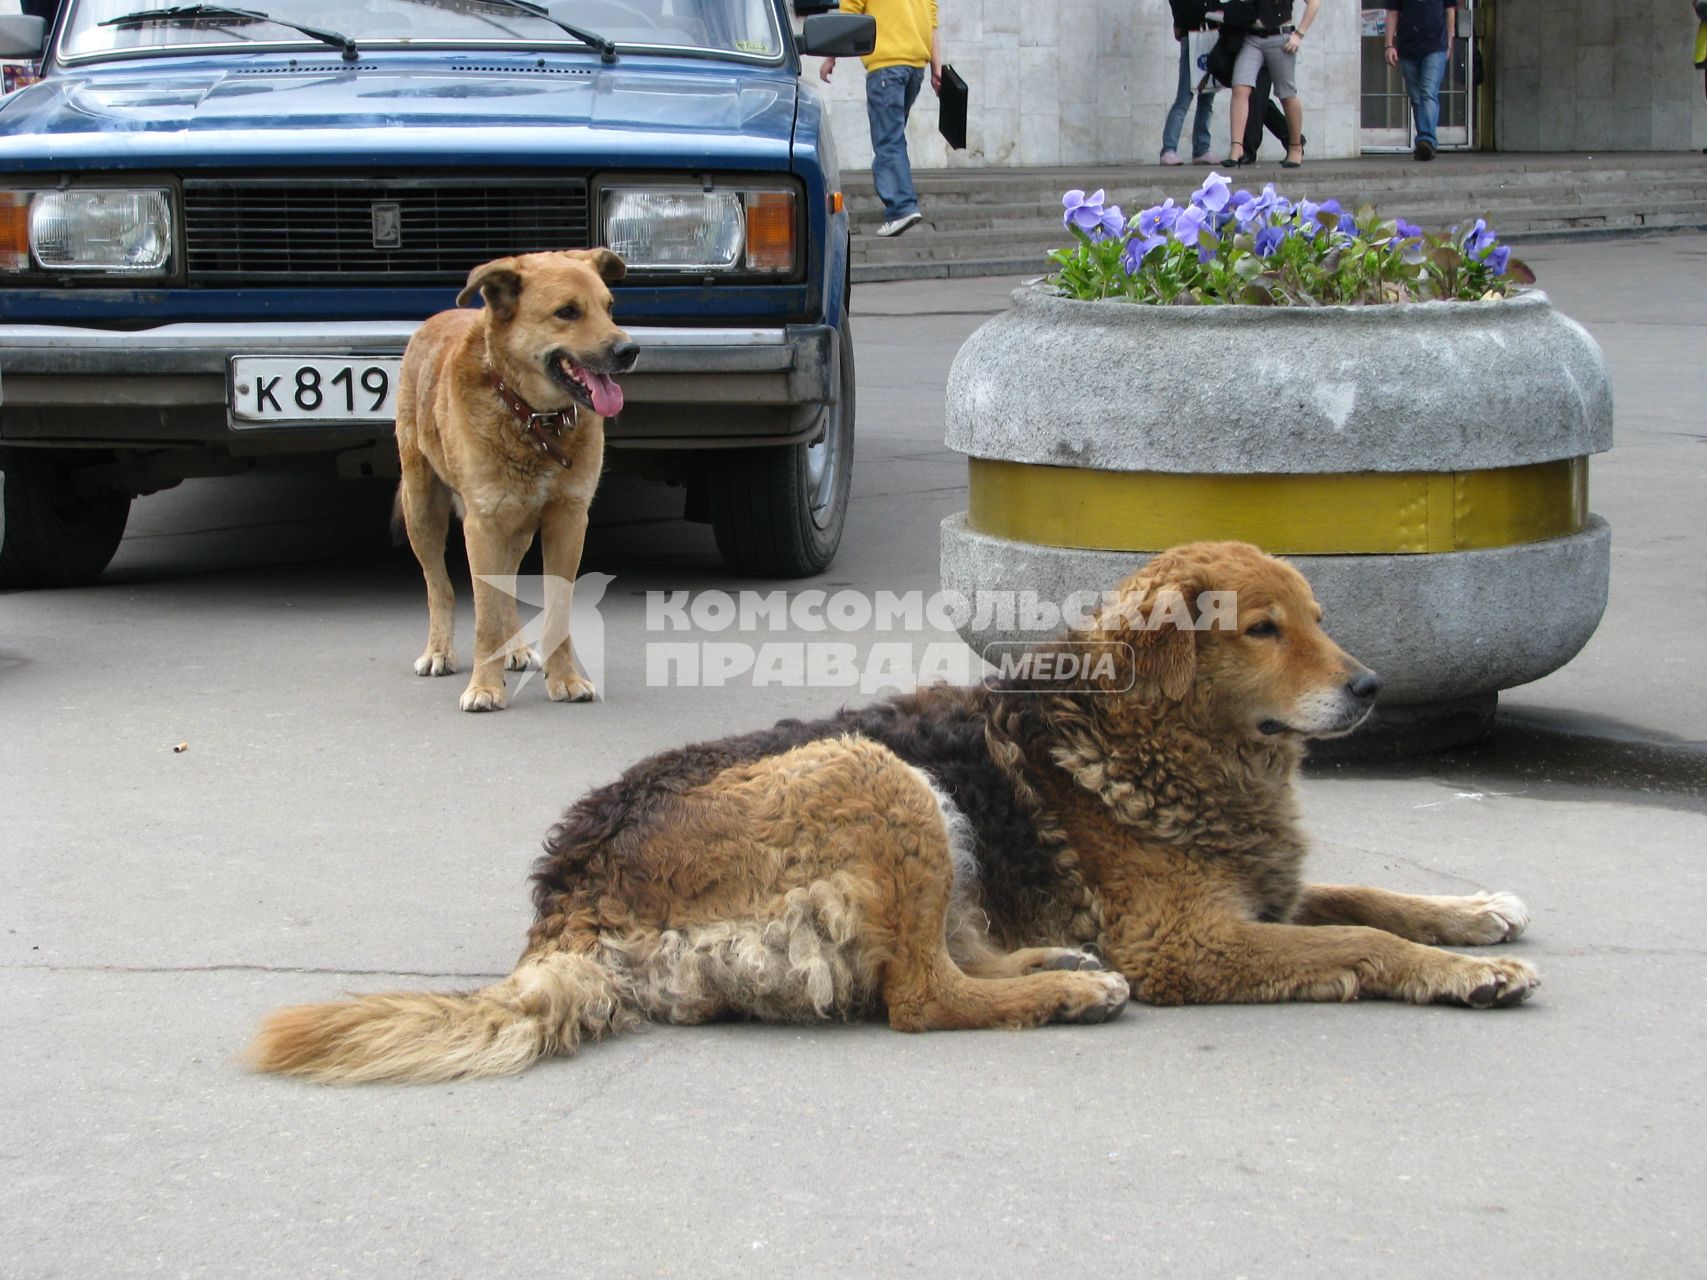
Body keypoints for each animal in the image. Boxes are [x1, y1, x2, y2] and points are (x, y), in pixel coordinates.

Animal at [392, 250, 635, 713]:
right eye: (567, 312)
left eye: (610, 307)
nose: (629, 350)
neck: (535, 419)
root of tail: (438, 317)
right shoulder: (483, 526)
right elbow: (484, 614)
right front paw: (485, 687)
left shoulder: (568, 521)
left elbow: (555, 611)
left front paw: (565, 678)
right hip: (422, 508)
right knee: (439, 585)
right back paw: (439, 651)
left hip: (517, 529)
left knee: (505, 589)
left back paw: (517, 648)